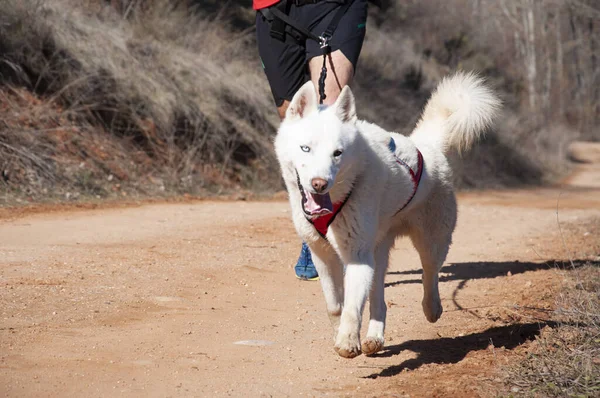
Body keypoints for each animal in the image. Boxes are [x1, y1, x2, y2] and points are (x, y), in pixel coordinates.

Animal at [274, 73, 500, 360]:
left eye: (337, 153)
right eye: (305, 148)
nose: (319, 184)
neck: (339, 197)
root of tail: (427, 145)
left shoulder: (358, 256)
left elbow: (351, 307)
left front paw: (347, 342)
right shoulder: (321, 253)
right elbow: (336, 305)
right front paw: (342, 331)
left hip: (430, 242)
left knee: (429, 274)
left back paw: (432, 308)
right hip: (378, 253)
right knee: (379, 301)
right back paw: (374, 338)